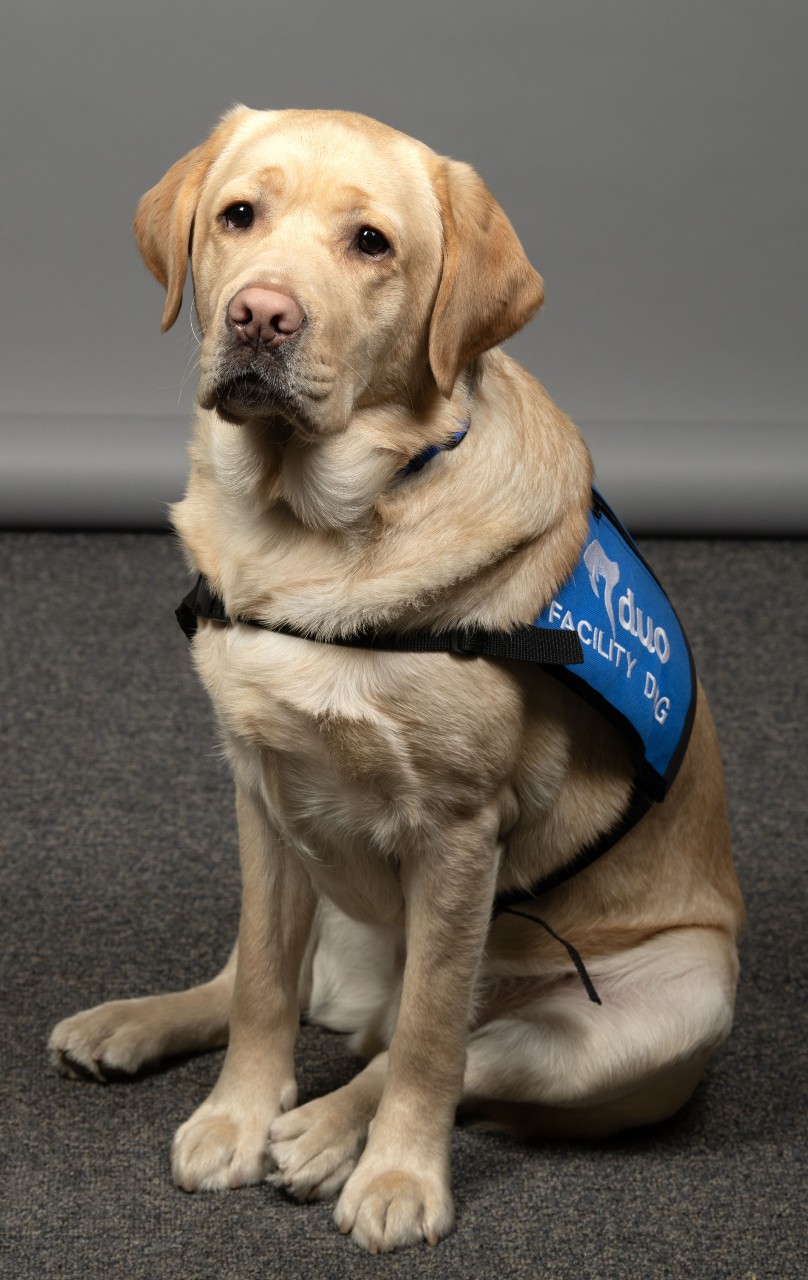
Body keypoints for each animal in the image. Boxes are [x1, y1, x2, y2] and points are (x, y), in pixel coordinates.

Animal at [50, 107, 747, 1249]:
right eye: (239, 216)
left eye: (370, 243)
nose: (259, 315)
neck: (306, 533)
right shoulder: (261, 792)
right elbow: (259, 982)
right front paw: (237, 1117)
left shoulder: (460, 833)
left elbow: (429, 1040)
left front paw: (397, 1177)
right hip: (330, 892)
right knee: (277, 989)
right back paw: (133, 1025)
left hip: (672, 1002)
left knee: (431, 1046)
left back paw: (327, 1135)